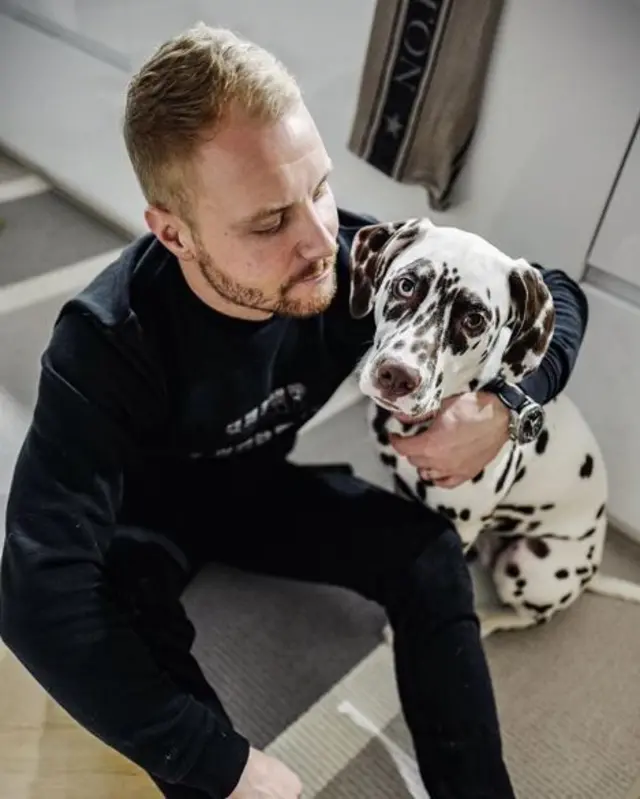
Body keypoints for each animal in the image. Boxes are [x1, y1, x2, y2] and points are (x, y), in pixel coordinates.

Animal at [348, 217, 640, 636]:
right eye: (406, 284)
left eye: (474, 319)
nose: (397, 376)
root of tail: (592, 570)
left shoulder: (457, 527)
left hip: (529, 564)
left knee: (530, 615)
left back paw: (489, 620)